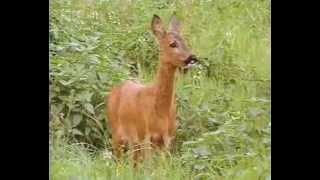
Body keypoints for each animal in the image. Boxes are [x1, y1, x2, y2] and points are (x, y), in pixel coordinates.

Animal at [107, 14, 198, 162]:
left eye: (185, 42)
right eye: (173, 44)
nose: (192, 57)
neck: (161, 111)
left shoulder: (167, 138)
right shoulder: (145, 135)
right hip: (116, 133)